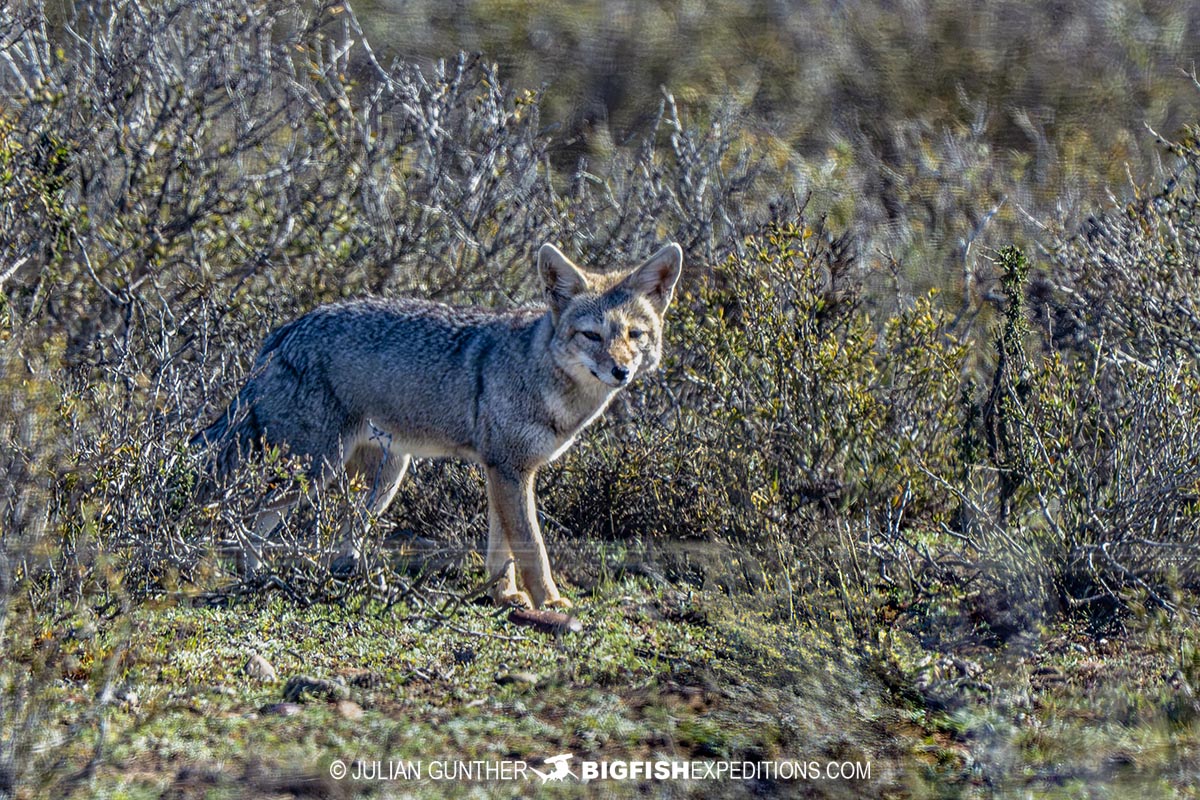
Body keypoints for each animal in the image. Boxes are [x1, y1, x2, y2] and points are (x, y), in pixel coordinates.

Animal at [192, 242, 683, 609]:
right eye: (592, 336)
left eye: (635, 335)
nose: (621, 371)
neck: (543, 375)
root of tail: (286, 330)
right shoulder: (509, 470)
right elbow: (531, 547)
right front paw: (549, 601)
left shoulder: (501, 470)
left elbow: (501, 546)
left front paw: (505, 596)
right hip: (315, 468)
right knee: (243, 515)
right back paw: (260, 580)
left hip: (383, 481)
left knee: (340, 537)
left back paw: (349, 581)